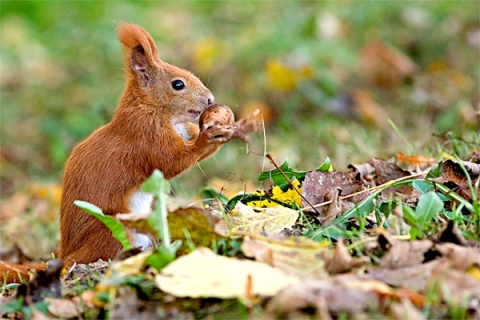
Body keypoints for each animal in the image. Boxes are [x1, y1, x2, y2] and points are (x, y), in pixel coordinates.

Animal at [0, 22, 235, 282]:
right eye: (178, 84)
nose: (210, 99)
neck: (152, 109)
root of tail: (67, 256)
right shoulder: (146, 135)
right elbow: (171, 161)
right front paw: (209, 137)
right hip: (112, 228)